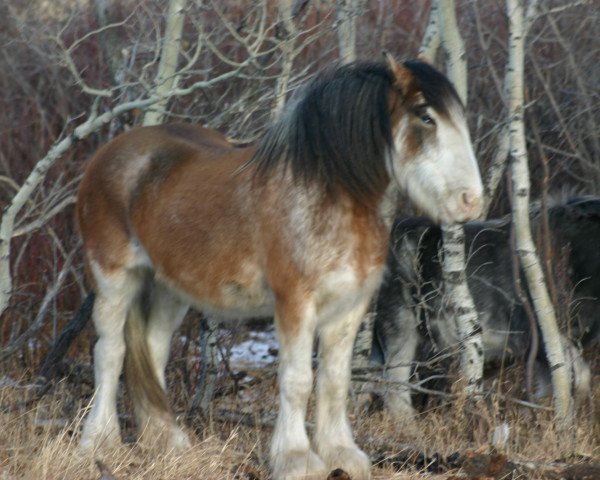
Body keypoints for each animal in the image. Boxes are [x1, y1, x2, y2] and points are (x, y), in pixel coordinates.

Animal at [77, 54, 486, 478]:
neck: (326, 196)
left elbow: (334, 381)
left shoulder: (348, 307)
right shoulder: (295, 301)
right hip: (113, 280)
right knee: (110, 352)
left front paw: (341, 454)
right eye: (426, 116)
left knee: (153, 351)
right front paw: (296, 458)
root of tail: (107, 155)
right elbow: (297, 379)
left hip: (168, 289)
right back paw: (98, 443)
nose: (471, 200)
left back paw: (168, 444)